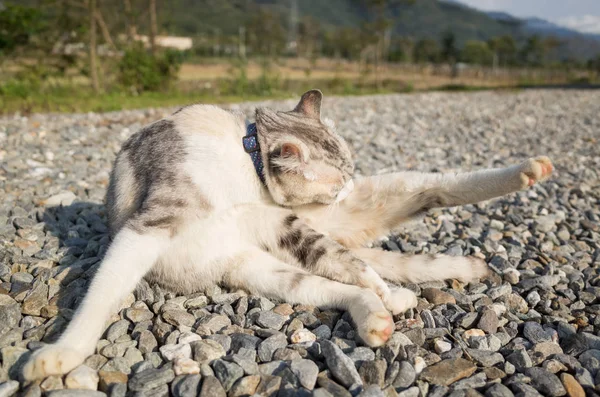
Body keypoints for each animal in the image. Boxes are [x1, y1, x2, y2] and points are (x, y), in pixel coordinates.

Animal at [24, 88, 556, 378]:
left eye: (349, 173)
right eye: (337, 179)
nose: (344, 192)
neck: (247, 163)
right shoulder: (149, 225)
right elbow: (103, 290)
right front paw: (62, 354)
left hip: (313, 222)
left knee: (431, 190)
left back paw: (528, 171)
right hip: (265, 260)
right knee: (339, 277)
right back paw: (381, 311)